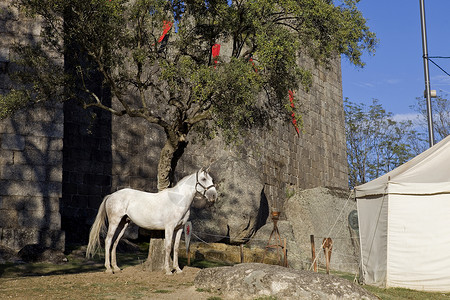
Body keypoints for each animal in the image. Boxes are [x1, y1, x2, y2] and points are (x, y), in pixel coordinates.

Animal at [86, 169, 218, 274]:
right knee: (108, 241)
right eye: (203, 179)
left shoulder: (179, 228)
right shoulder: (169, 228)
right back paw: (109, 269)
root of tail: (111, 196)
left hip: (123, 224)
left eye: (211, 179)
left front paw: (178, 269)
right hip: (114, 222)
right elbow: (168, 247)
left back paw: (116, 268)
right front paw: (168, 270)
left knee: (115, 242)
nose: (214, 196)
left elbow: (175, 248)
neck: (177, 200)